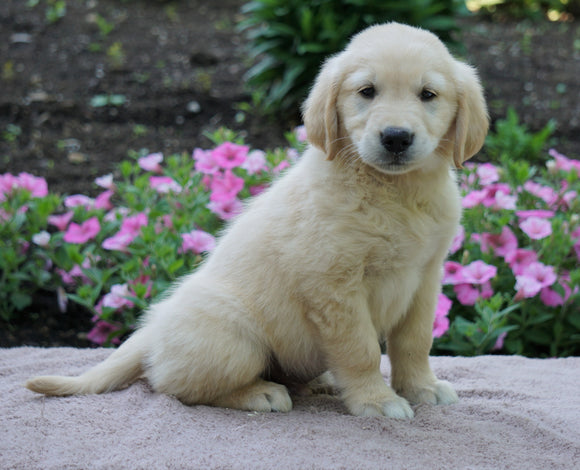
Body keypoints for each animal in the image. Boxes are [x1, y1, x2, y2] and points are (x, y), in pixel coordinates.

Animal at [27, 23, 490, 418]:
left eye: (428, 94)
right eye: (367, 91)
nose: (396, 138)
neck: (394, 192)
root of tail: (151, 330)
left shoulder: (425, 276)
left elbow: (414, 341)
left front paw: (421, 388)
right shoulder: (334, 283)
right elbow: (361, 350)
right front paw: (376, 401)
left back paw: (319, 382)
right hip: (235, 340)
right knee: (173, 386)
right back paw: (261, 394)